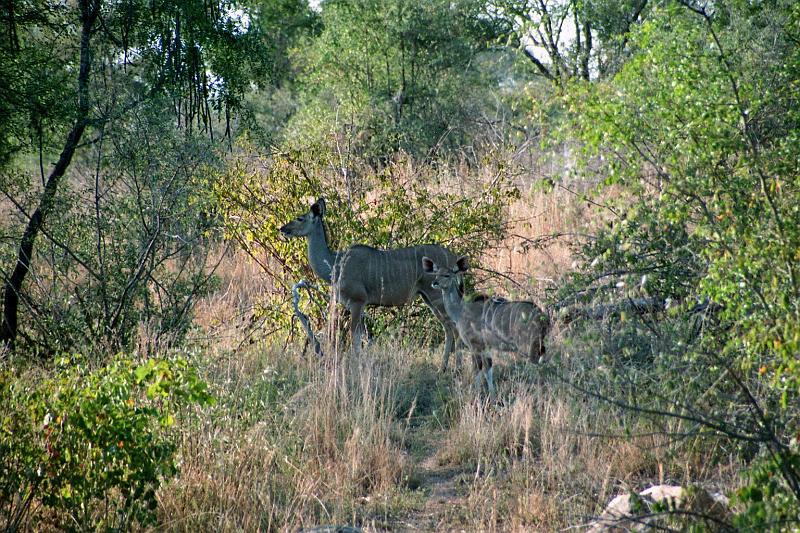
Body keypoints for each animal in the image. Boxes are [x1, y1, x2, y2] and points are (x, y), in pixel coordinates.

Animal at [278, 197, 460, 368]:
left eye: (300, 218)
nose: (282, 229)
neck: (336, 264)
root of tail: (454, 258)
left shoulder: (357, 302)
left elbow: (355, 337)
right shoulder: (359, 305)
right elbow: (362, 336)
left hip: (437, 296)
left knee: (454, 325)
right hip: (427, 298)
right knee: (448, 327)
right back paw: (443, 367)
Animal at [418, 255, 552, 400]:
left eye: (447, 275)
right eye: (436, 274)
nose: (435, 283)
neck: (460, 309)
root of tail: (542, 318)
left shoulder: (474, 346)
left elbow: (477, 369)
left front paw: (475, 395)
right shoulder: (485, 347)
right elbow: (488, 369)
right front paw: (492, 398)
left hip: (527, 346)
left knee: (536, 368)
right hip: (539, 346)